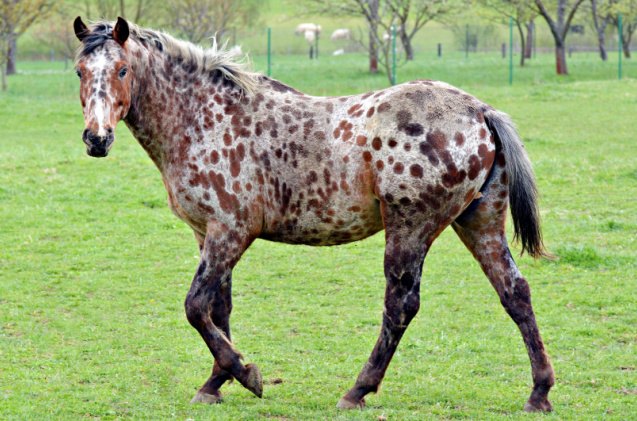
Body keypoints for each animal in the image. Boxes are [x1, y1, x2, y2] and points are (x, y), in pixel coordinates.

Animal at [72, 15, 556, 410]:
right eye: (80, 71)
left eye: (122, 69)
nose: (96, 139)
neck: (204, 118)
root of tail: (480, 111)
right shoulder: (207, 232)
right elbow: (218, 310)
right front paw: (217, 382)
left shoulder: (230, 231)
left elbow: (195, 307)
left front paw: (246, 374)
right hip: (479, 222)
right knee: (515, 293)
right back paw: (539, 392)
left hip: (411, 227)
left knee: (401, 305)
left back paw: (358, 390)